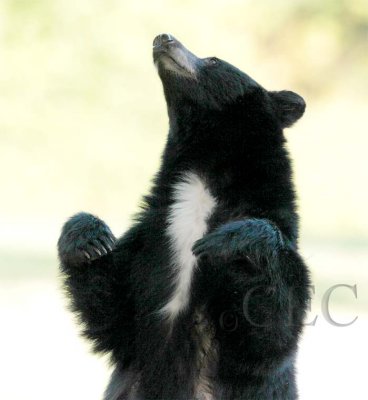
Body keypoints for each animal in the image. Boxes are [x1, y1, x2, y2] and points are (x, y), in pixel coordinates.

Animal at [57, 35, 310, 400]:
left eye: (214, 60)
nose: (163, 38)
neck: (205, 167)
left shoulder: (279, 225)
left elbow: (270, 336)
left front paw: (230, 241)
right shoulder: (153, 234)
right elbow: (113, 317)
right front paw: (91, 240)